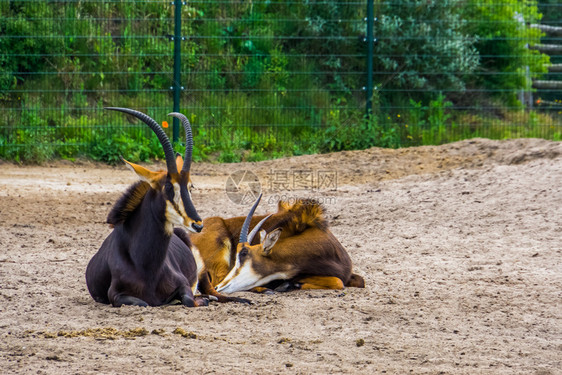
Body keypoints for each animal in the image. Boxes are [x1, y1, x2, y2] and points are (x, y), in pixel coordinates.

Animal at [85, 108, 247, 308]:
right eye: (169, 187)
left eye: (190, 186)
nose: (197, 224)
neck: (146, 267)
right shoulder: (115, 295)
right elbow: (144, 303)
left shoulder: (184, 284)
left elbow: (188, 300)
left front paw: (197, 300)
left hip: (200, 268)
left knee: (214, 292)